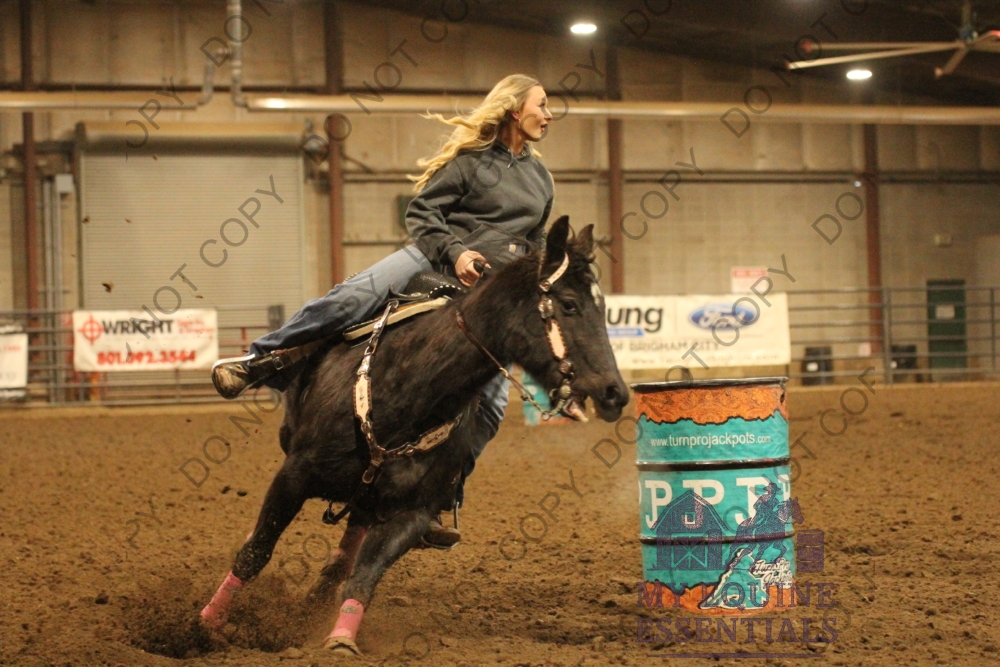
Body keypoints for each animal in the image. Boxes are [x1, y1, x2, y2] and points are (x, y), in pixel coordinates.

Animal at [198, 216, 629, 654]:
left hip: (370, 499)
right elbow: (255, 552)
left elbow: (365, 575)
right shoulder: (294, 476)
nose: (615, 392)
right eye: (570, 304)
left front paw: (340, 639)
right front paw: (205, 626)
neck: (409, 387)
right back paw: (242, 369)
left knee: (345, 553)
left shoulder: (412, 514)